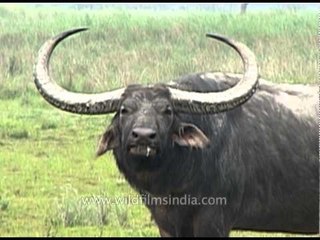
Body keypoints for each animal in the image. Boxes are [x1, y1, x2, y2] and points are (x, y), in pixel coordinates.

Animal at [32, 27, 318, 236]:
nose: (143, 136)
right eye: (124, 110)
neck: (173, 186)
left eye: (167, 110)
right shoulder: (167, 224)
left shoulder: (213, 220)